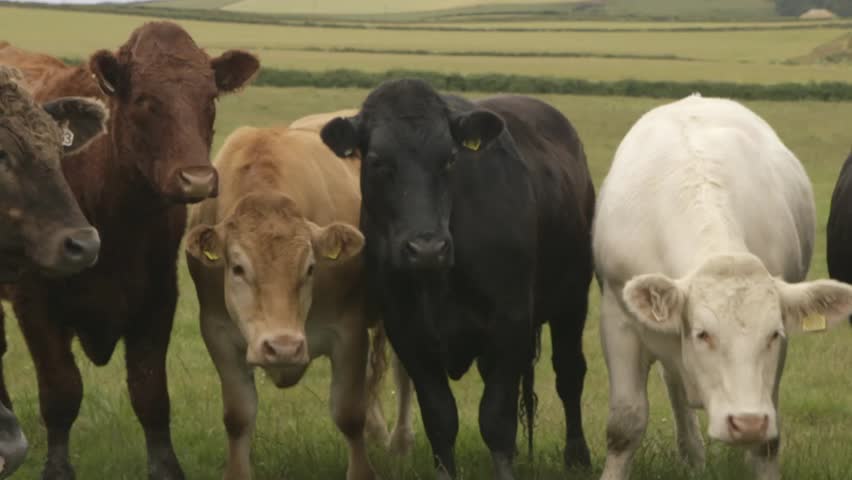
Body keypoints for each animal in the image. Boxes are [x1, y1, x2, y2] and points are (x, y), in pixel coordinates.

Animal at [185, 111, 414, 480]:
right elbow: (238, 416)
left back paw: (400, 442)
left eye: (310, 268)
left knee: (402, 371)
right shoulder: (217, 332)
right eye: (238, 268)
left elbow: (349, 413)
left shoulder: (348, 331)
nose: (283, 348)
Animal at [322, 79, 596, 480]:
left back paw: (577, 455)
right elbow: (440, 419)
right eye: (376, 161)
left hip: (572, 300)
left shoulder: (511, 322)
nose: (427, 248)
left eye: (450, 159)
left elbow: (496, 420)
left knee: (570, 373)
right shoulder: (407, 332)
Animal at [592, 94, 852, 480]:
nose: (747, 423)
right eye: (703, 334)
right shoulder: (619, 320)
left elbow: (766, 444)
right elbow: (625, 424)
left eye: (773, 334)